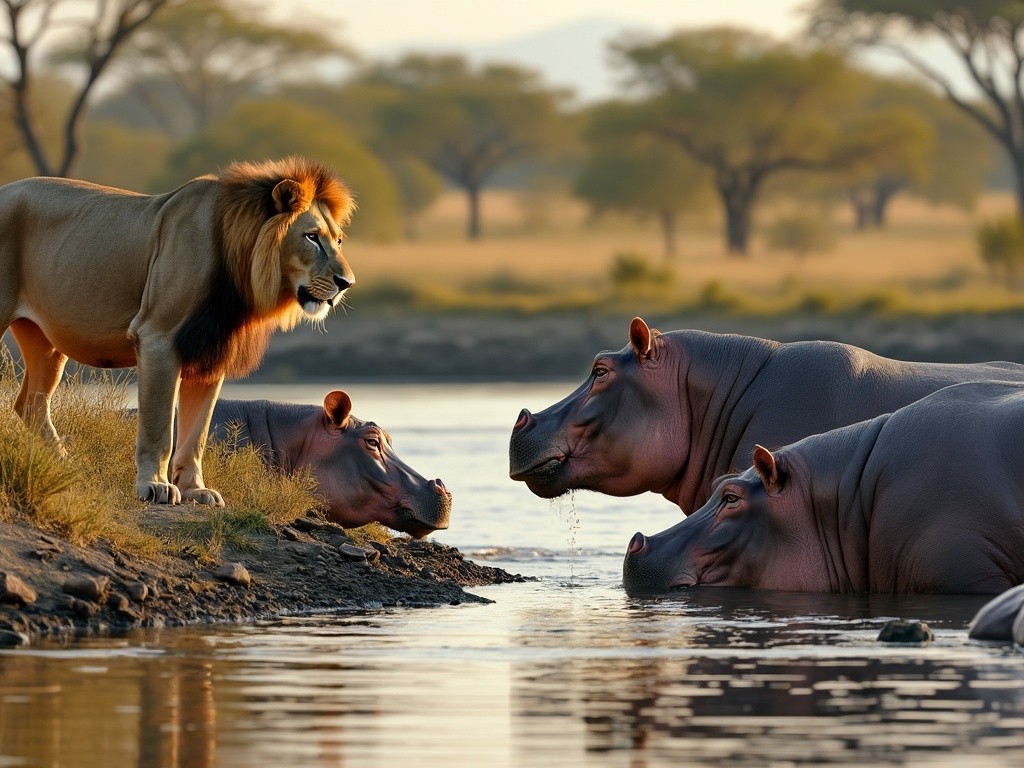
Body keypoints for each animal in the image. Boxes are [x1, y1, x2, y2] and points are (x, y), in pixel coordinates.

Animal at [0, 154, 356, 512]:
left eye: (338, 240)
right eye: (311, 237)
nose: (347, 283)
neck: (239, 268)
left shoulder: (210, 351)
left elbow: (196, 433)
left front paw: (195, 490)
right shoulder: (158, 337)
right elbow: (159, 428)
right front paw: (154, 485)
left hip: (45, 342)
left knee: (30, 404)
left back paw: (66, 466)